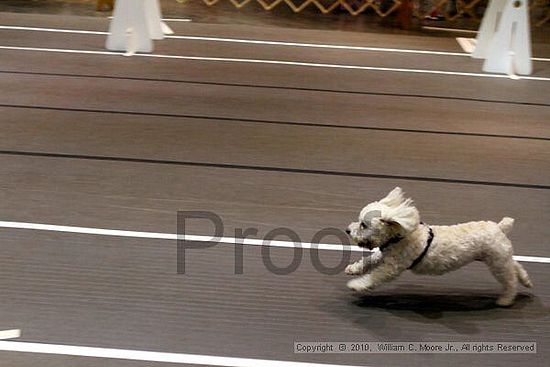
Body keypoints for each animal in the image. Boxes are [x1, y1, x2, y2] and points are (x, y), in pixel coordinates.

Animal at [348, 188, 532, 306]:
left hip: (497, 263)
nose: (348, 230)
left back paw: (506, 300)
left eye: (363, 225)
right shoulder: (384, 255)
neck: (400, 236)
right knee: (515, 266)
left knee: (510, 281)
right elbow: (369, 260)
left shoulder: (392, 267)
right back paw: (526, 281)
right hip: (500, 258)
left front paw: (356, 284)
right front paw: (353, 269)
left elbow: (374, 277)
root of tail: (500, 227)